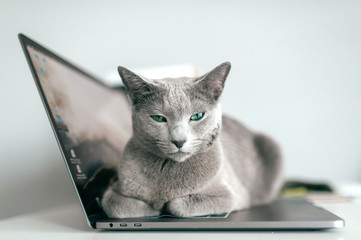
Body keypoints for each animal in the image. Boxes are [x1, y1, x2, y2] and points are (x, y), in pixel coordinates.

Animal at [100, 62, 282, 218]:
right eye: (158, 118)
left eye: (197, 116)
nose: (179, 141)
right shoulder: (115, 188)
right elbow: (115, 205)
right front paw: (153, 207)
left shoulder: (233, 196)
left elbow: (178, 205)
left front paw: (163, 206)